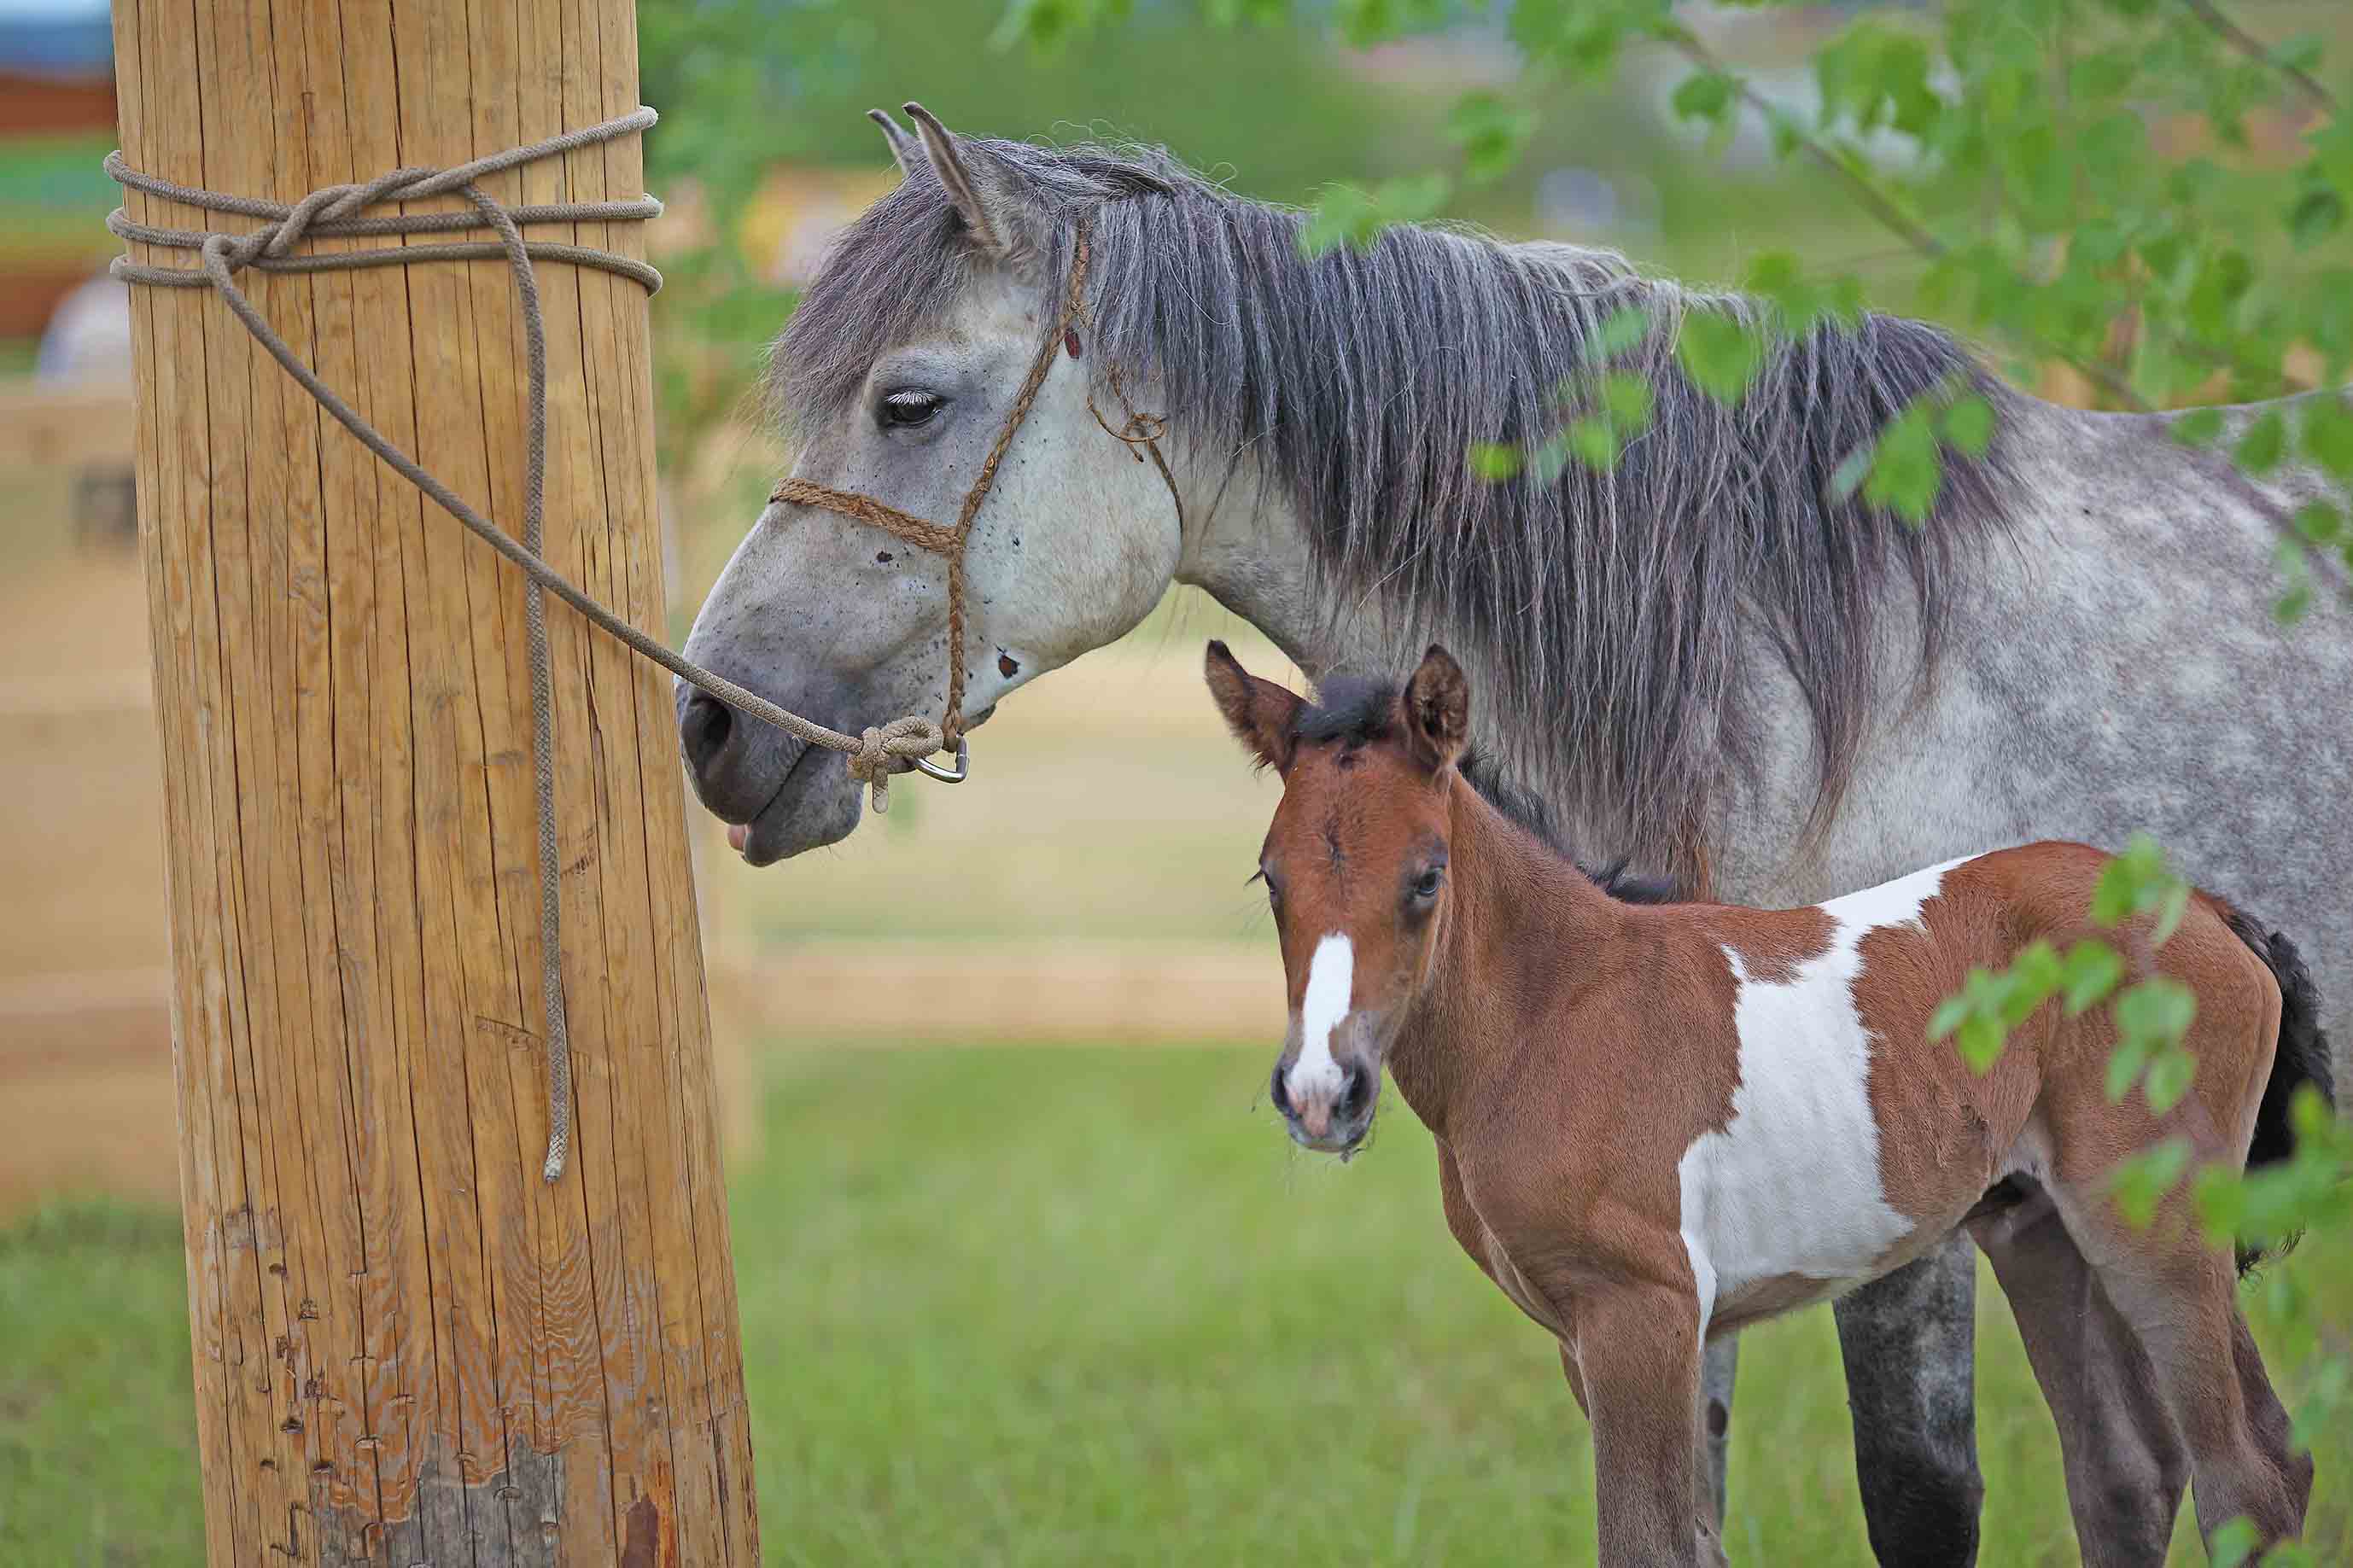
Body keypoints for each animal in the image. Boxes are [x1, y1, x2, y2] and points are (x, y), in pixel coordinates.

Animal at [1205, 637, 2331, 1566]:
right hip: (2039, 1227)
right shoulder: (1591, 1338)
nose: (1322, 1093)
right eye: (1268, 878)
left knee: (2250, 1472)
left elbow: (1647, 1548)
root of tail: (2204, 907)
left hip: (2154, 1223)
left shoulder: (1640, 1313)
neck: (1553, 1010)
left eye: (1425, 876)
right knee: (2126, 1472)